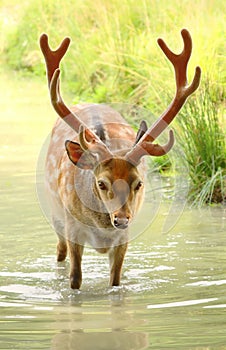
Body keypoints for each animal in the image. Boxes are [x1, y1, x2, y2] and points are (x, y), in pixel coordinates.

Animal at [39, 28, 200, 288]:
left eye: (139, 183)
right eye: (101, 183)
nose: (121, 219)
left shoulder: (124, 237)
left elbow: (115, 281)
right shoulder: (72, 226)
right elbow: (75, 279)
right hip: (56, 214)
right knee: (59, 251)